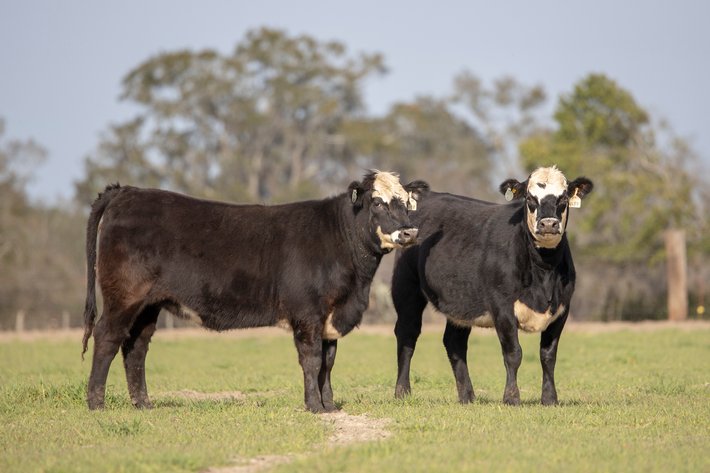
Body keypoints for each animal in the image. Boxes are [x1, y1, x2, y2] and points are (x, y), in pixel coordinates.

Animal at [82, 171, 428, 412]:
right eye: (377, 202)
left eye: (408, 204)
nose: (410, 232)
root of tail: (127, 192)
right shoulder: (307, 315)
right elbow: (312, 360)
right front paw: (314, 406)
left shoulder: (331, 316)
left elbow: (328, 363)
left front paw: (329, 405)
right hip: (124, 298)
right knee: (107, 338)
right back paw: (96, 402)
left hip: (149, 305)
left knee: (136, 348)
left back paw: (143, 404)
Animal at [391, 166, 593, 405]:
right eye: (529, 198)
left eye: (563, 198)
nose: (548, 224)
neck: (544, 272)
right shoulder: (502, 307)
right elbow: (513, 353)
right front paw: (511, 398)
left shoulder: (562, 309)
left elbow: (548, 355)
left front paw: (550, 399)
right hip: (407, 289)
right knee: (407, 334)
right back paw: (402, 392)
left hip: (461, 301)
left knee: (454, 343)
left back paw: (467, 396)